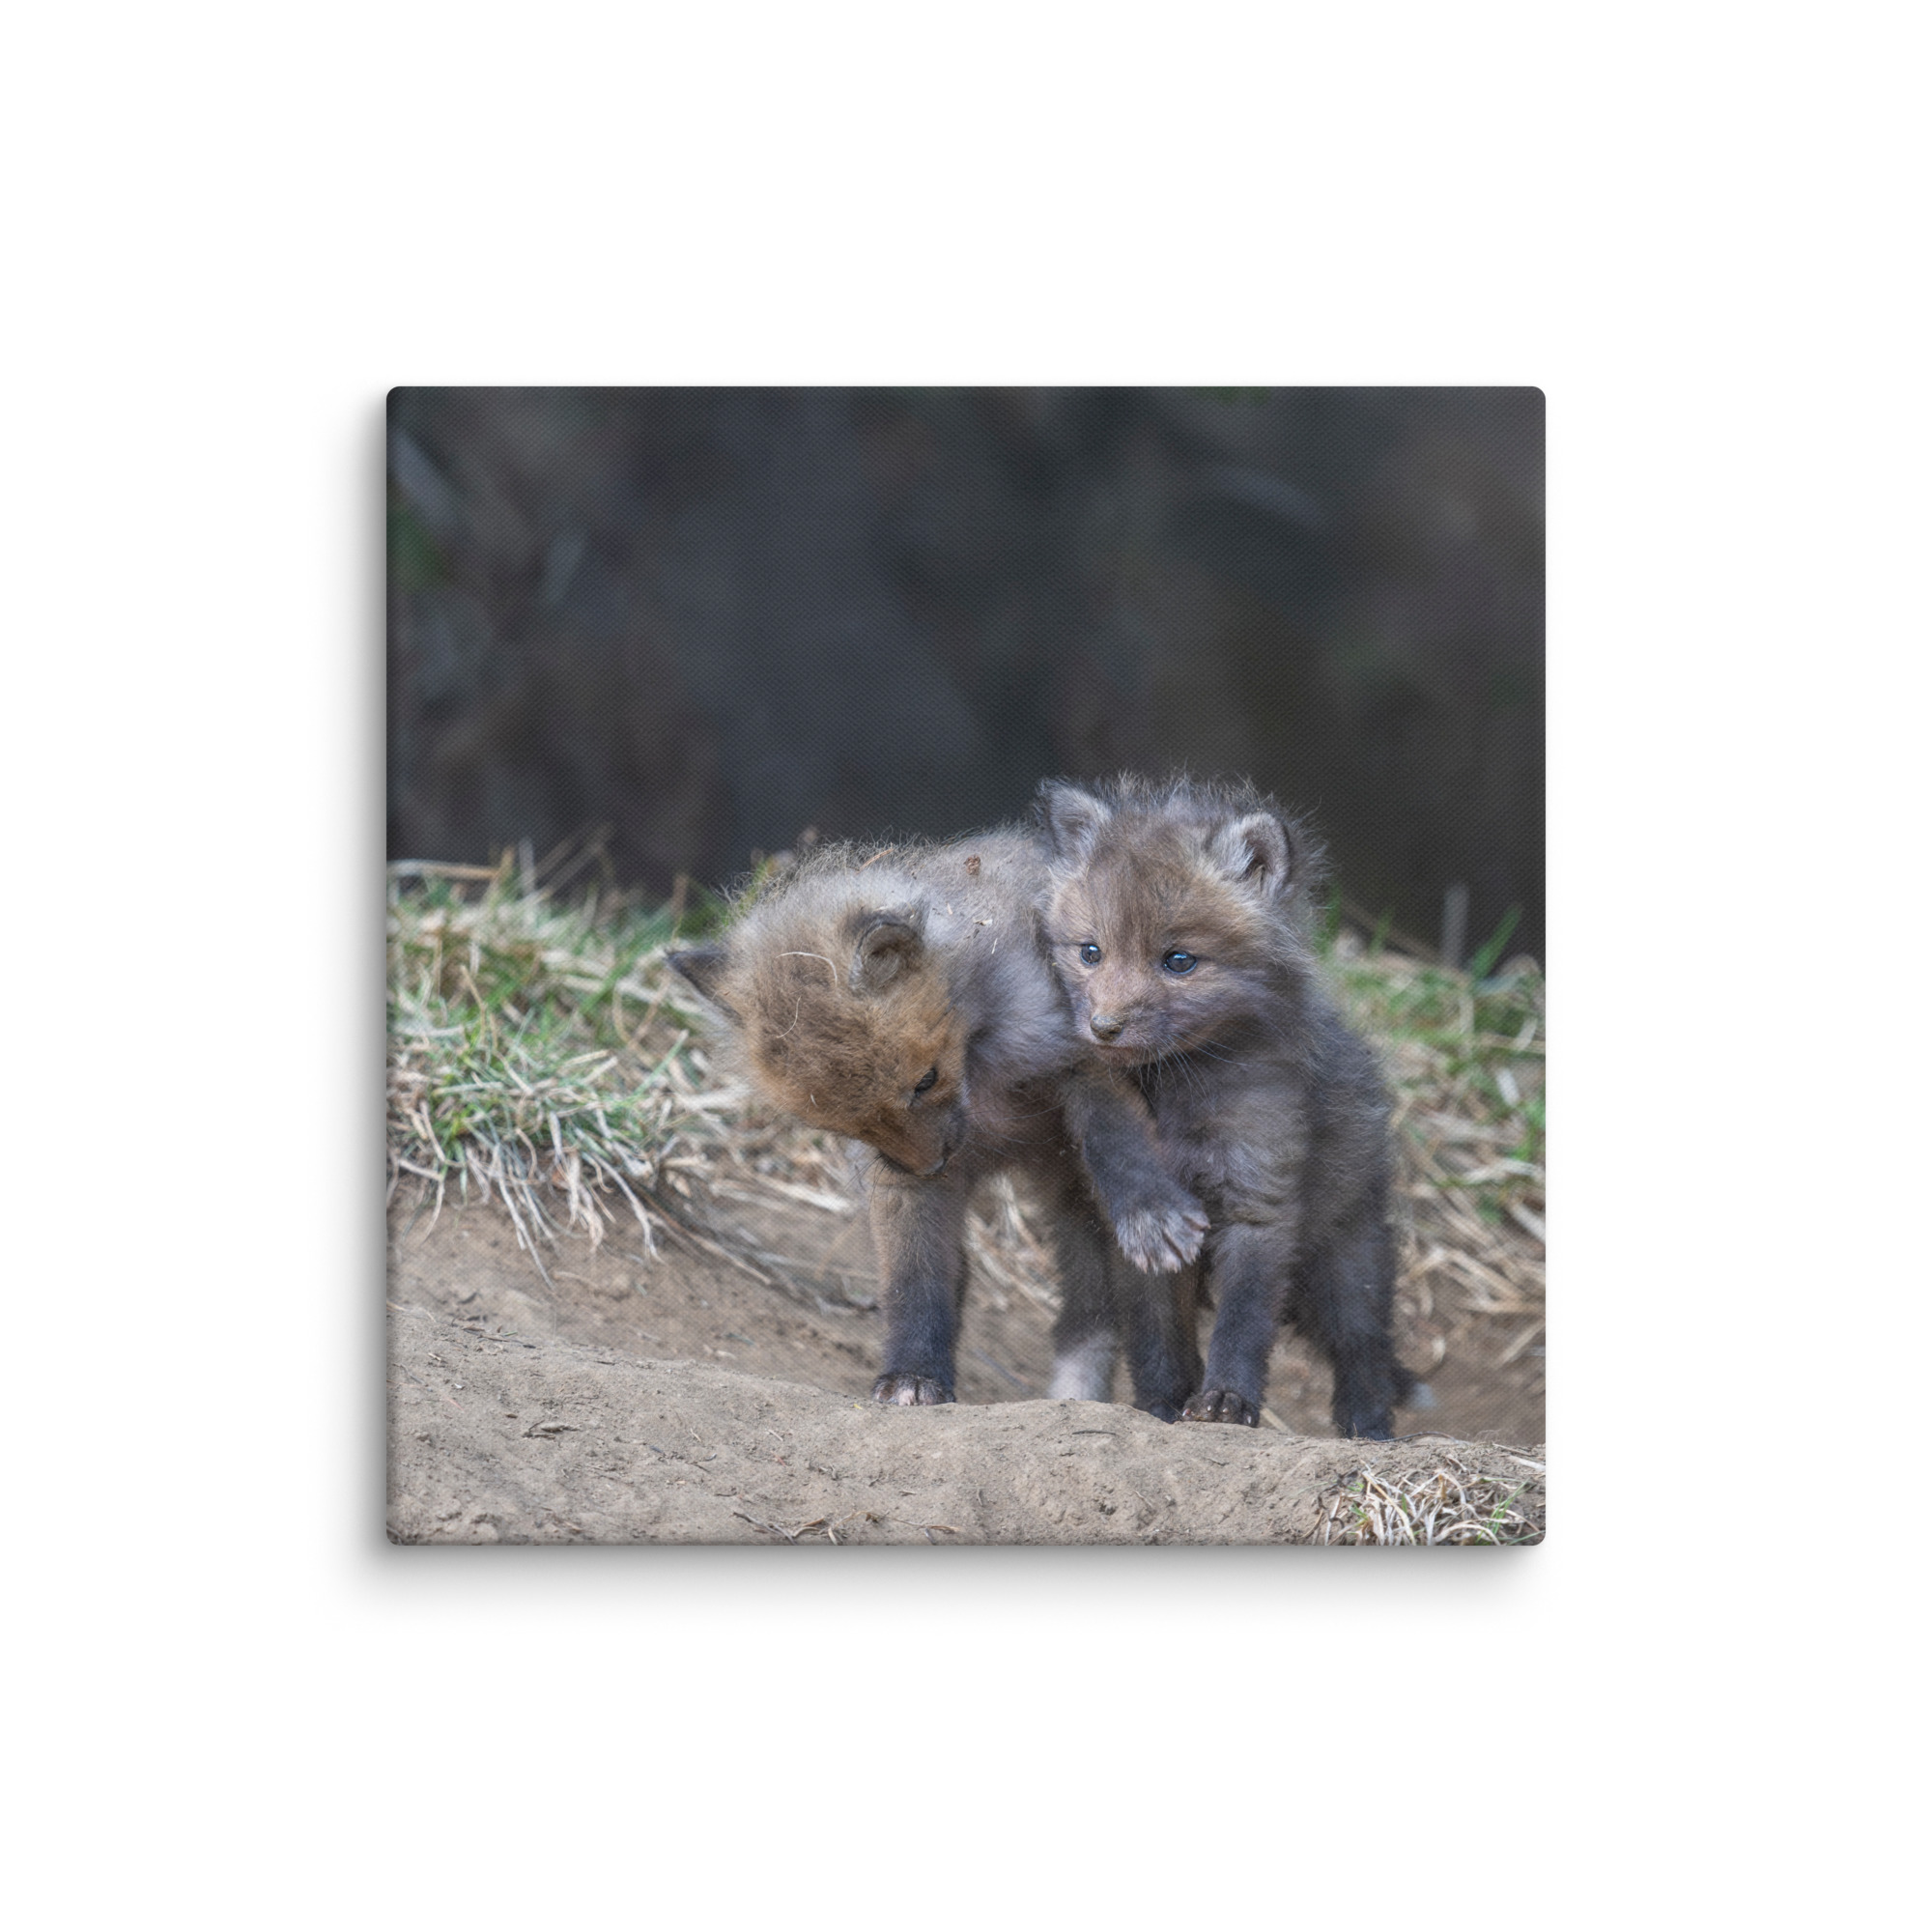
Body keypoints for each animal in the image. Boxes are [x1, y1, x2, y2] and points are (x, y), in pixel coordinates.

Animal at [666, 827, 1207, 1415]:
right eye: (846, 1124)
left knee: (1148, 1317)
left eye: (925, 1081)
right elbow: (915, 1280)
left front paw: (1149, 1211)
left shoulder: (1084, 1055)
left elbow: (1117, 1142)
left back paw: (1168, 1403)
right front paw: (914, 1374)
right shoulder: (897, 1179)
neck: (983, 1071)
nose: (931, 1164)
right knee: (1084, 1315)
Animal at [1037, 774, 1417, 1439]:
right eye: (1090, 952)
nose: (1103, 1028)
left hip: (1347, 1262)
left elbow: (1243, 1323)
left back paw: (1369, 1433)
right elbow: (1157, 1337)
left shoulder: (1258, 1201)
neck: (1177, 1094)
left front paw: (1225, 1403)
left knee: (1365, 1350)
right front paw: (1161, 1407)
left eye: (1179, 961)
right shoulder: (1144, 1235)